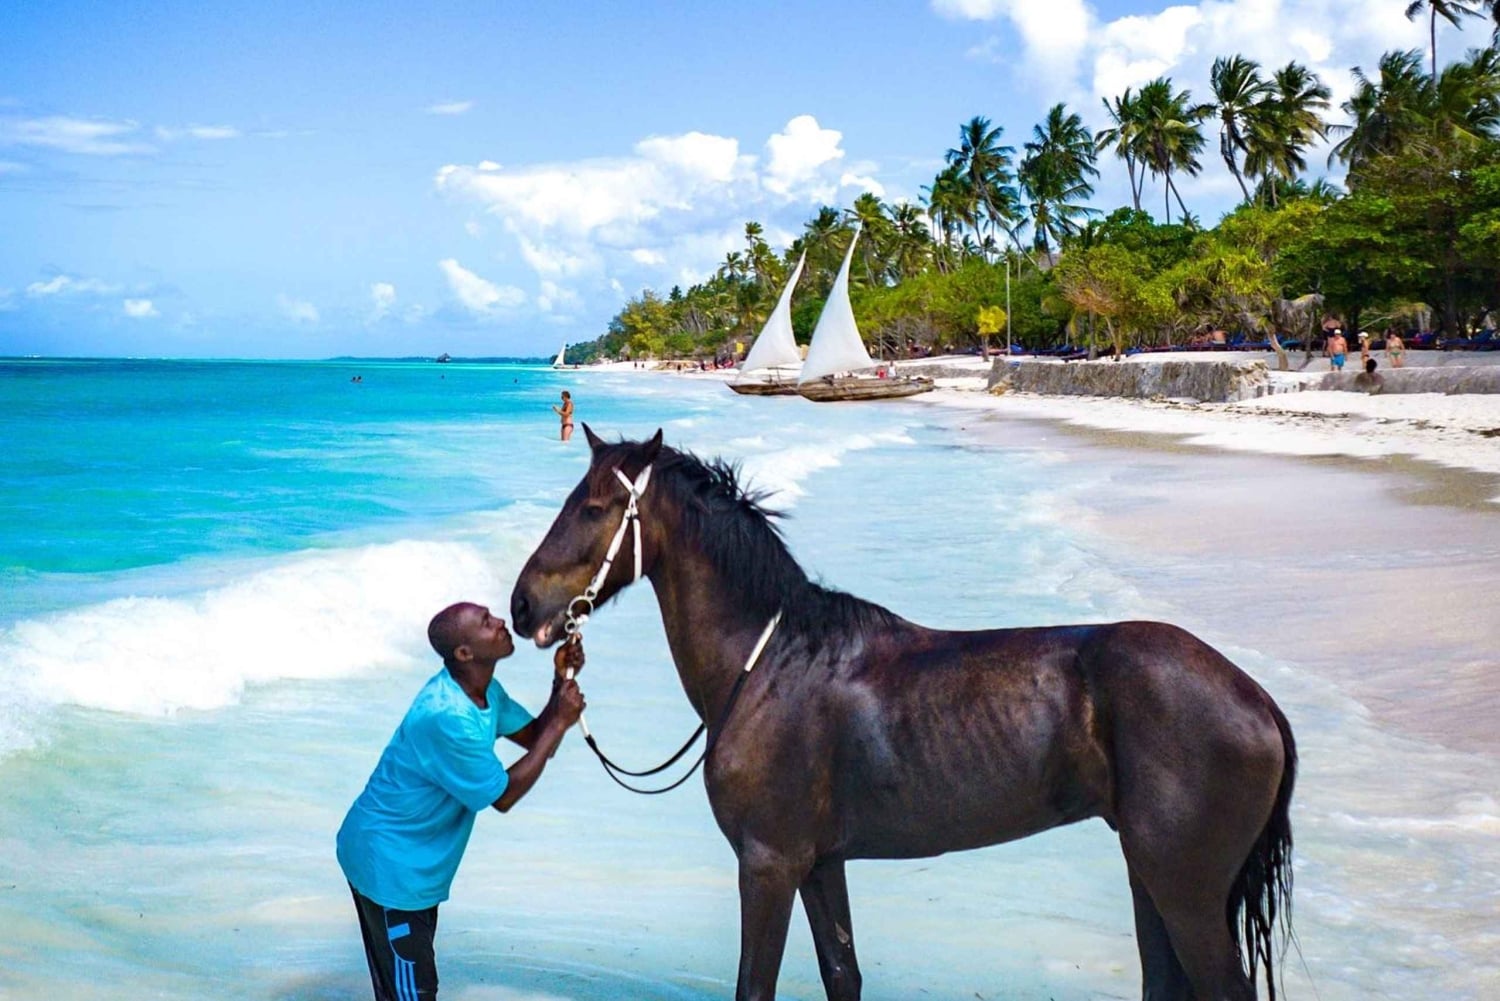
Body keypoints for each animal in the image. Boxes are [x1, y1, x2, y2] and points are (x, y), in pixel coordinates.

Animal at [511, 427, 1296, 1001]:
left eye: (591, 509)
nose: (521, 606)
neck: (766, 662)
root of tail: (1257, 699)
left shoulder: (767, 863)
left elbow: (755, 987)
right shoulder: (818, 863)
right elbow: (842, 976)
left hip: (1186, 891)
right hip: (1149, 876)